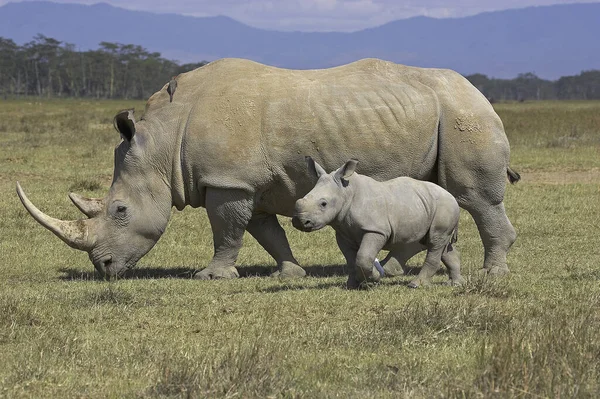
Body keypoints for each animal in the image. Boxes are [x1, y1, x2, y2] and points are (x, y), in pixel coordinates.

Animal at [292, 157, 462, 290]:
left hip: (444, 207)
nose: (299, 221)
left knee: (435, 241)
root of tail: (451, 196)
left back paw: (415, 285)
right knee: (440, 244)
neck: (346, 192)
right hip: (429, 206)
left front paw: (374, 278)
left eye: (323, 204)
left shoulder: (376, 230)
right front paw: (353, 285)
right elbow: (351, 260)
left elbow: (363, 257)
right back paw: (455, 284)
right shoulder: (343, 233)